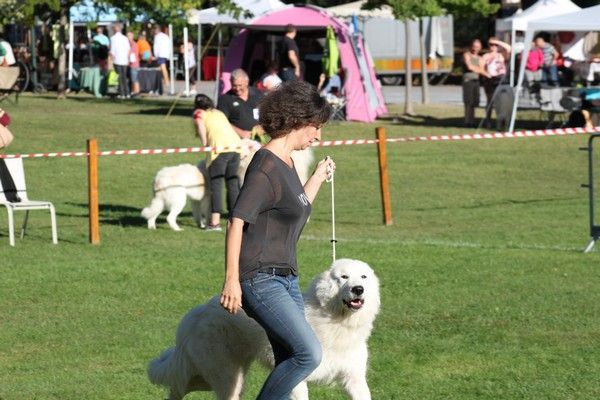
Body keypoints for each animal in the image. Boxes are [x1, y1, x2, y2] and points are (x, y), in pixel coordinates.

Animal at [148, 258, 380, 398]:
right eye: (343, 277)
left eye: (364, 277)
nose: (358, 289)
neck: (335, 321)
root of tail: (198, 312)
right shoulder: (298, 379)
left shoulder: (355, 379)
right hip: (225, 377)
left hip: (214, 375)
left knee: (177, 386)